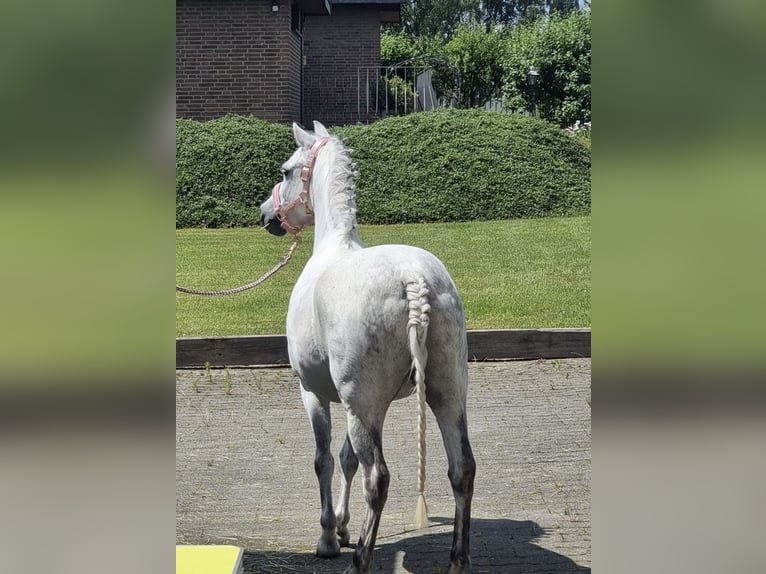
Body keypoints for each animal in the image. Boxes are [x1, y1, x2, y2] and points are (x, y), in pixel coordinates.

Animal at [259, 121, 476, 574]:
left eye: (286, 170)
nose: (266, 215)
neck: (334, 243)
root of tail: (413, 279)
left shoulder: (316, 394)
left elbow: (325, 459)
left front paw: (329, 535)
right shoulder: (355, 403)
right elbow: (347, 458)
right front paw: (341, 526)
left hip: (364, 404)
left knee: (378, 479)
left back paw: (359, 559)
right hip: (447, 392)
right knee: (462, 468)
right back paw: (456, 562)